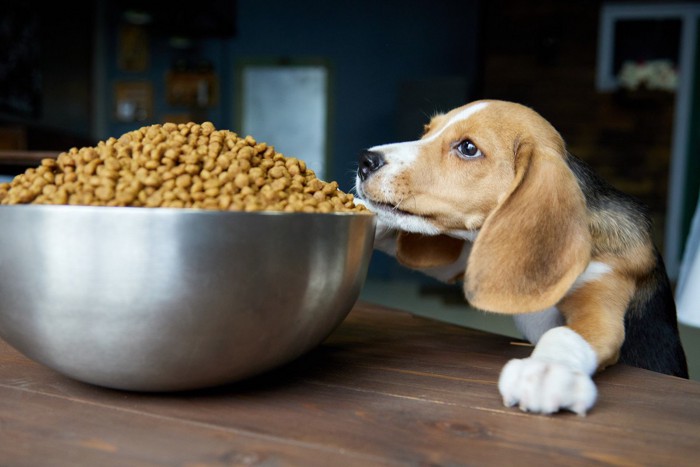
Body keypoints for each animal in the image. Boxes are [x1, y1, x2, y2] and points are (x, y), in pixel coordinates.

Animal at [356, 99, 688, 416]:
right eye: (426, 131)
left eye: (468, 148)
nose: (365, 160)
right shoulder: (473, 257)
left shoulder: (606, 290)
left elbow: (566, 334)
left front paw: (546, 371)